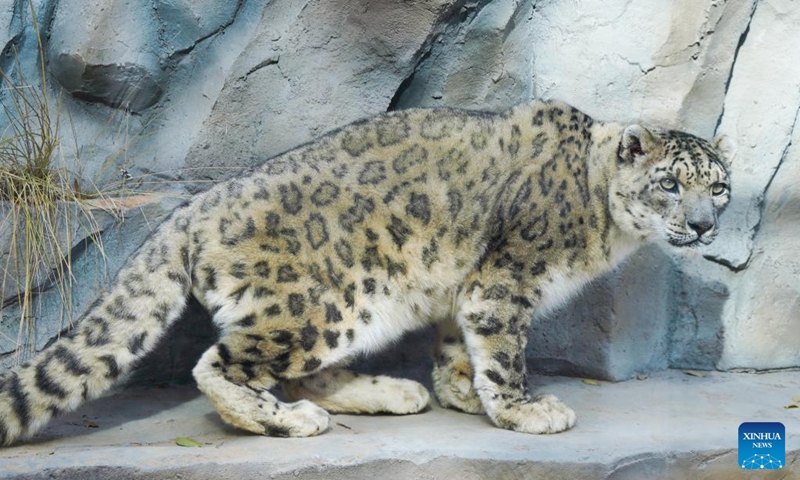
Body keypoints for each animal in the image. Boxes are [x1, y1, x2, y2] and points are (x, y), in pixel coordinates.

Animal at [0, 99, 731, 445]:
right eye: (670, 183)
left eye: (719, 186)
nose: (703, 226)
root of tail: (192, 208)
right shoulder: (504, 281)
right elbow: (502, 353)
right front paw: (524, 410)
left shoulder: (463, 290)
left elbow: (457, 349)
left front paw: (460, 393)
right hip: (316, 308)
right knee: (221, 365)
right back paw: (288, 421)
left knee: (304, 374)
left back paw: (390, 392)